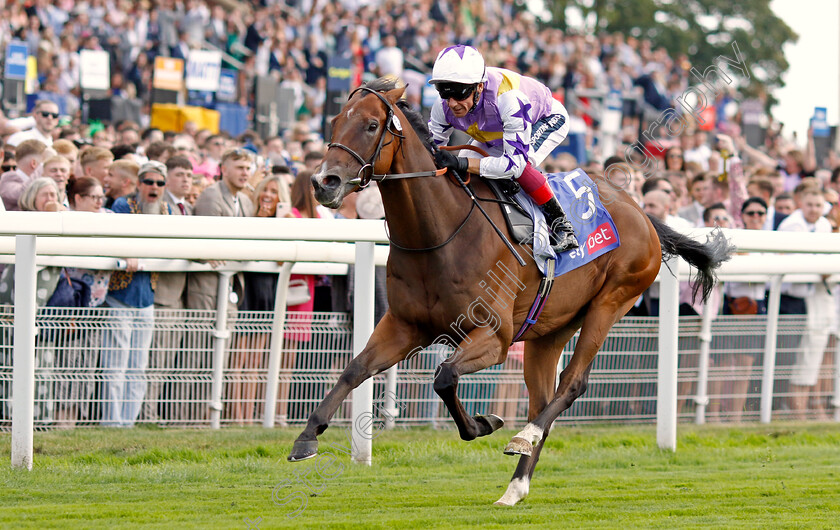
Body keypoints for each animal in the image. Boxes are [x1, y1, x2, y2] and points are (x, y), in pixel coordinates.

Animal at [288, 77, 728, 504]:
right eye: (333, 122)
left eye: (371, 125)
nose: (323, 182)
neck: (439, 233)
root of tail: (641, 213)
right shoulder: (403, 326)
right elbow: (355, 369)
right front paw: (306, 438)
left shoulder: (494, 336)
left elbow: (444, 376)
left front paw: (484, 423)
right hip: (549, 330)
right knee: (543, 399)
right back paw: (515, 487)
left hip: (611, 301)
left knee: (572, 384)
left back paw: (523, 437)